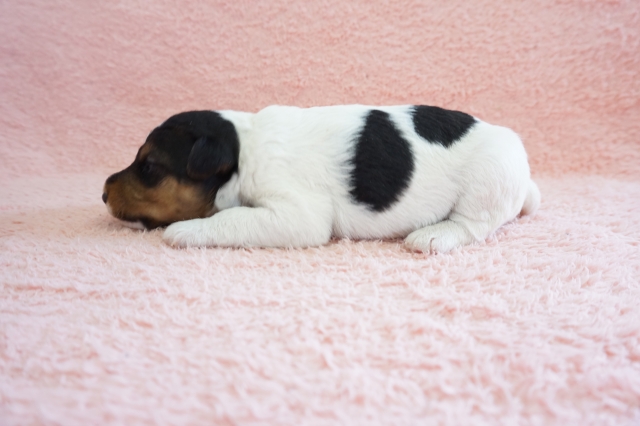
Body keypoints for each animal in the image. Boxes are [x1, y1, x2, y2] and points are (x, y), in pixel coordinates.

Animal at [103, 104, 540, 252]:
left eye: (148, 167)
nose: (104, 192)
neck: (243, 148)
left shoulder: (295, 214)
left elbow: (230, 218)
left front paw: (188, 230)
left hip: (488, 179)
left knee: (474, 224)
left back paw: (435, 235)